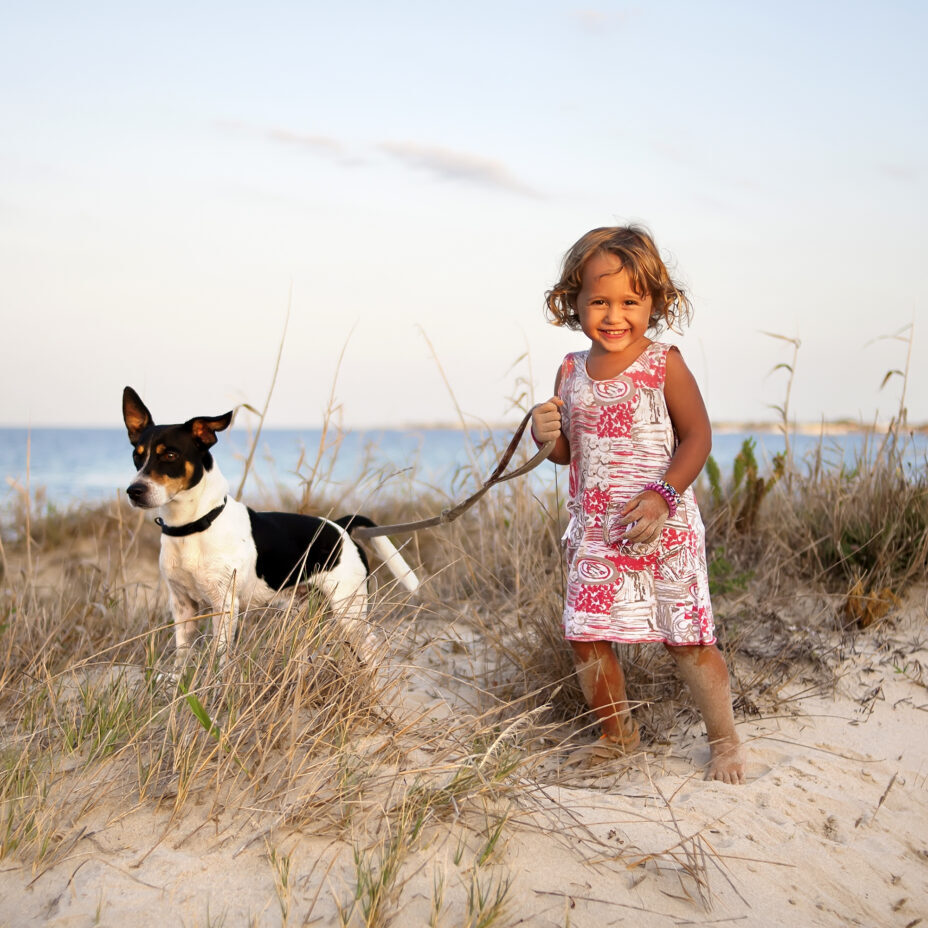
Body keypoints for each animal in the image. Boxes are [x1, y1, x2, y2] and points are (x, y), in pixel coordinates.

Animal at [121, 388, 418, 672]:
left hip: (349, 609)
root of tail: (342, 526)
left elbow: (219, 658)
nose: (134, 491)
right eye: (136, 456)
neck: (193, 527)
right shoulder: (182, 606)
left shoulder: (224, 606)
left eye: (170, 455)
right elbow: (182, 657)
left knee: (371, 647)